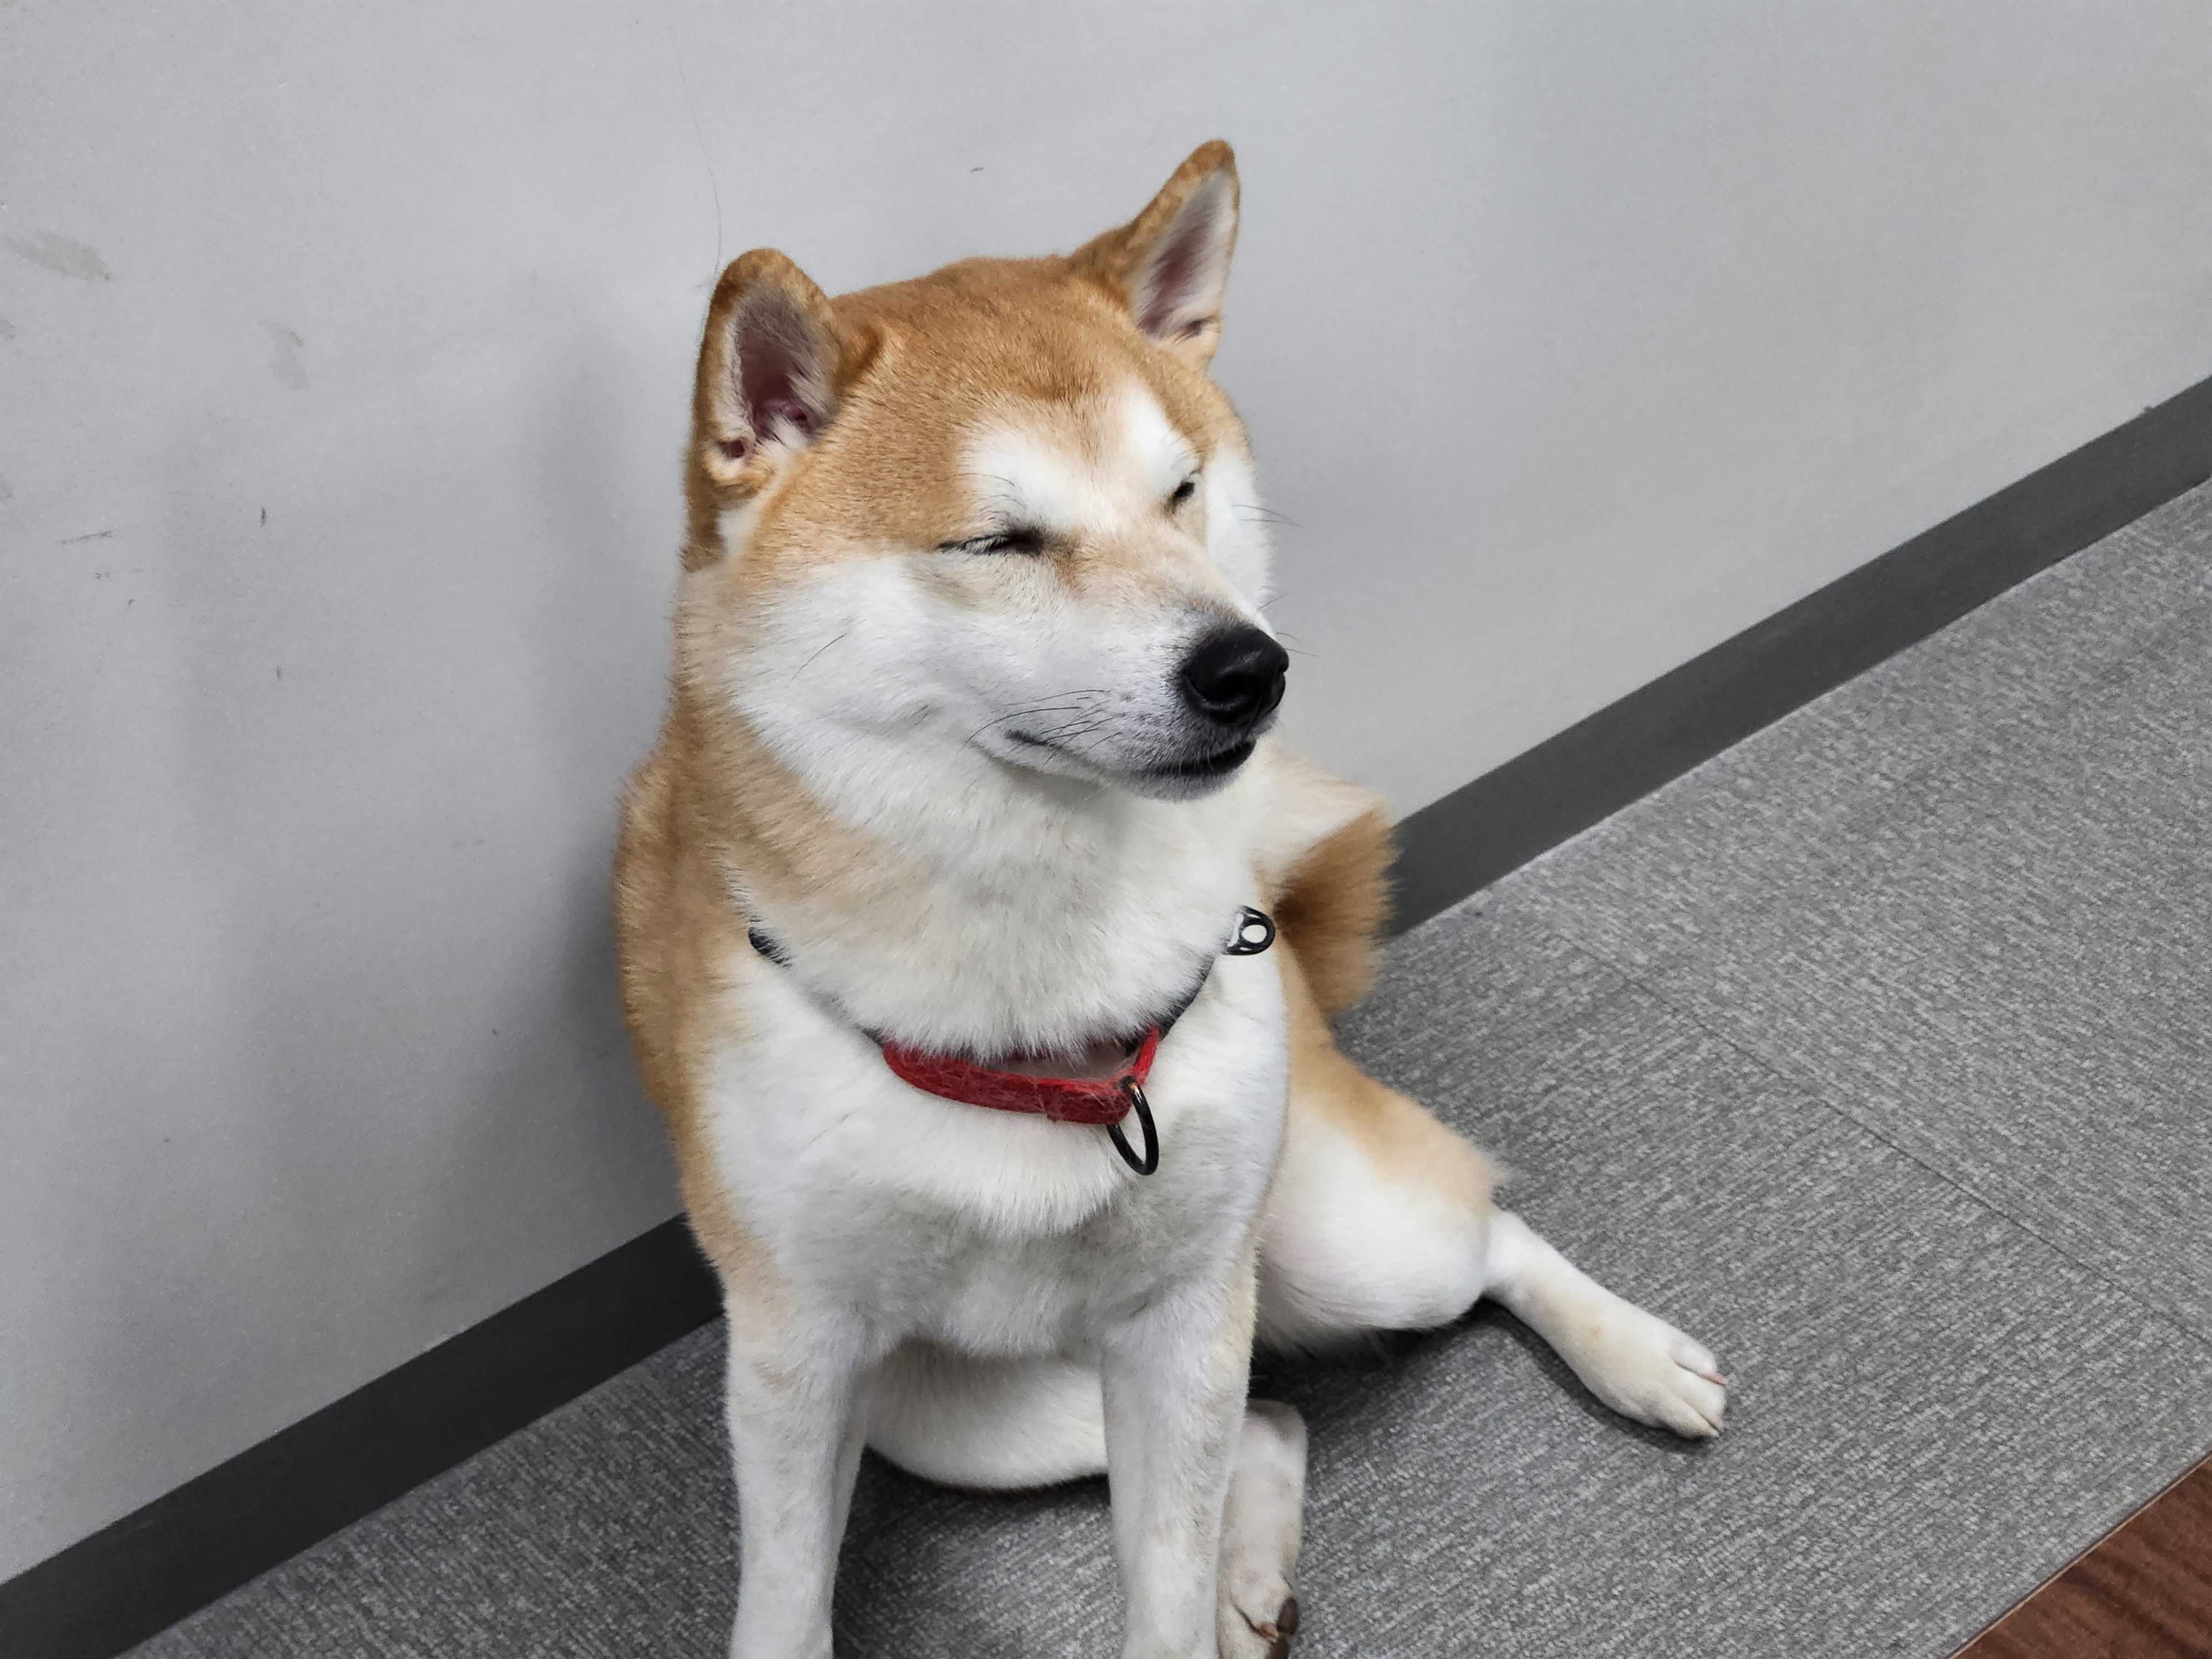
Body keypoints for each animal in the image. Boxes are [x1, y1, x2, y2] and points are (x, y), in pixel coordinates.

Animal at [613, 140, 1727, 1659]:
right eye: (1000, 542)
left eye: (1181, 491)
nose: (1246, 669)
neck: (1033, 944)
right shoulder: (797, 1352)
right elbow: (787, 1602)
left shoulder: (1185, 1307)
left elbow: (1161, 1573)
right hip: (958, 1413)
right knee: (1272, 1417)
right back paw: (1252, 1581)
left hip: (1333, 1245)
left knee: (1482, 1238)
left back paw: (1629, 1356)